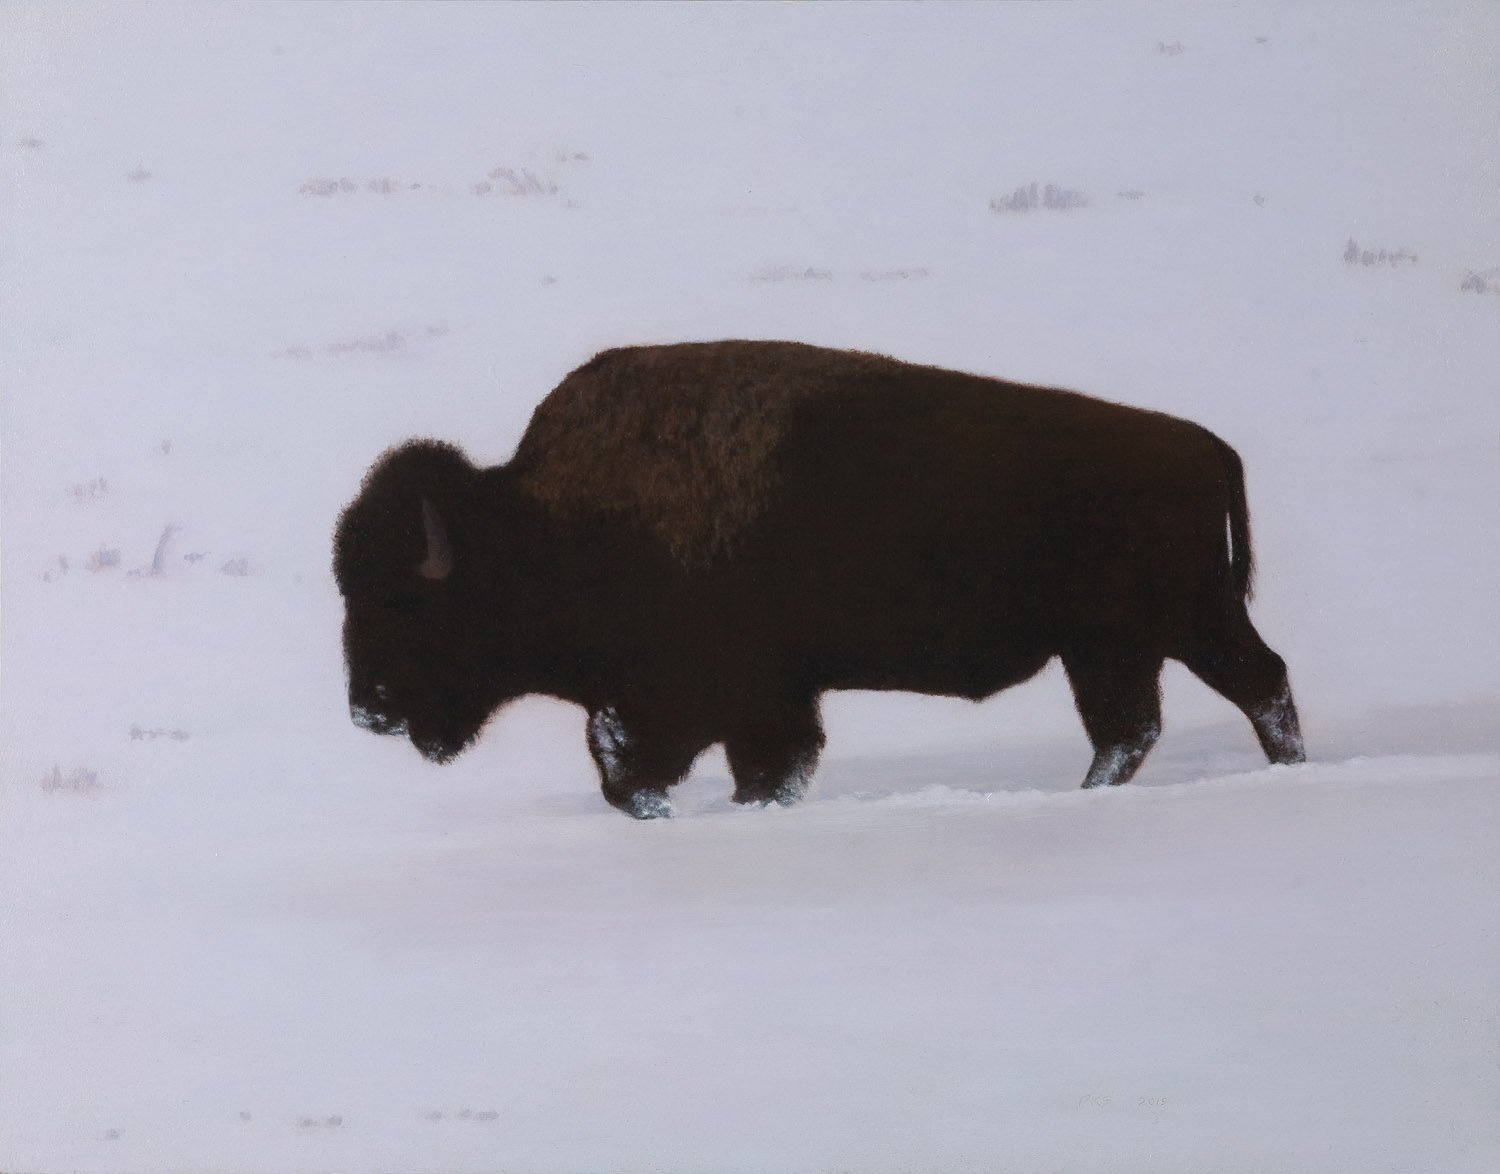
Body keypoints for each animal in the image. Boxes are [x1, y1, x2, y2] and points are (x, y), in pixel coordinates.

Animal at [334, 340, 1305, 818]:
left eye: (406, 599)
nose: (368, 709)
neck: (547, 522)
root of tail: (1199, 443)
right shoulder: (762, 701)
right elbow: (759, 768)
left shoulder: (694, 699)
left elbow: (639, 772)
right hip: (1120, 643)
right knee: (1145, 724)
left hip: (1168, 626)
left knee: (1245, 689)